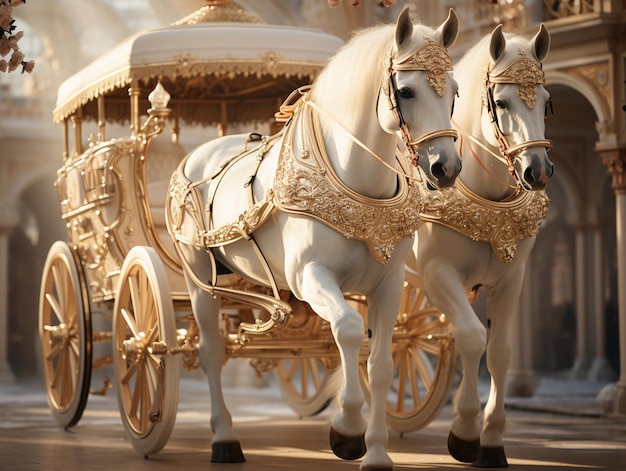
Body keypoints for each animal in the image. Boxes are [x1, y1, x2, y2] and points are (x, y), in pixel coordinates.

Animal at [166, 8, 458, 471]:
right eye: (406, 91)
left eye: (455, 93)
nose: (446, 167)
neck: (355, 182)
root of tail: (199, 152)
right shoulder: (309, 276)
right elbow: (349, 329)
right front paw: (348, 428)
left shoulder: (389, 283)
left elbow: (380, 362)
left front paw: (377, 451)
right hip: (199, 279)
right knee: (212, 351)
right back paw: (224, 438)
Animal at [410, 24, 552, 466]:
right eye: (501, 102)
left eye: (547, 102)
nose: (537, 171)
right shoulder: (436, 274)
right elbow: (472, 338)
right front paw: (465, 430)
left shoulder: (511, 280)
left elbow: (500, 352)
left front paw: (491, 438)